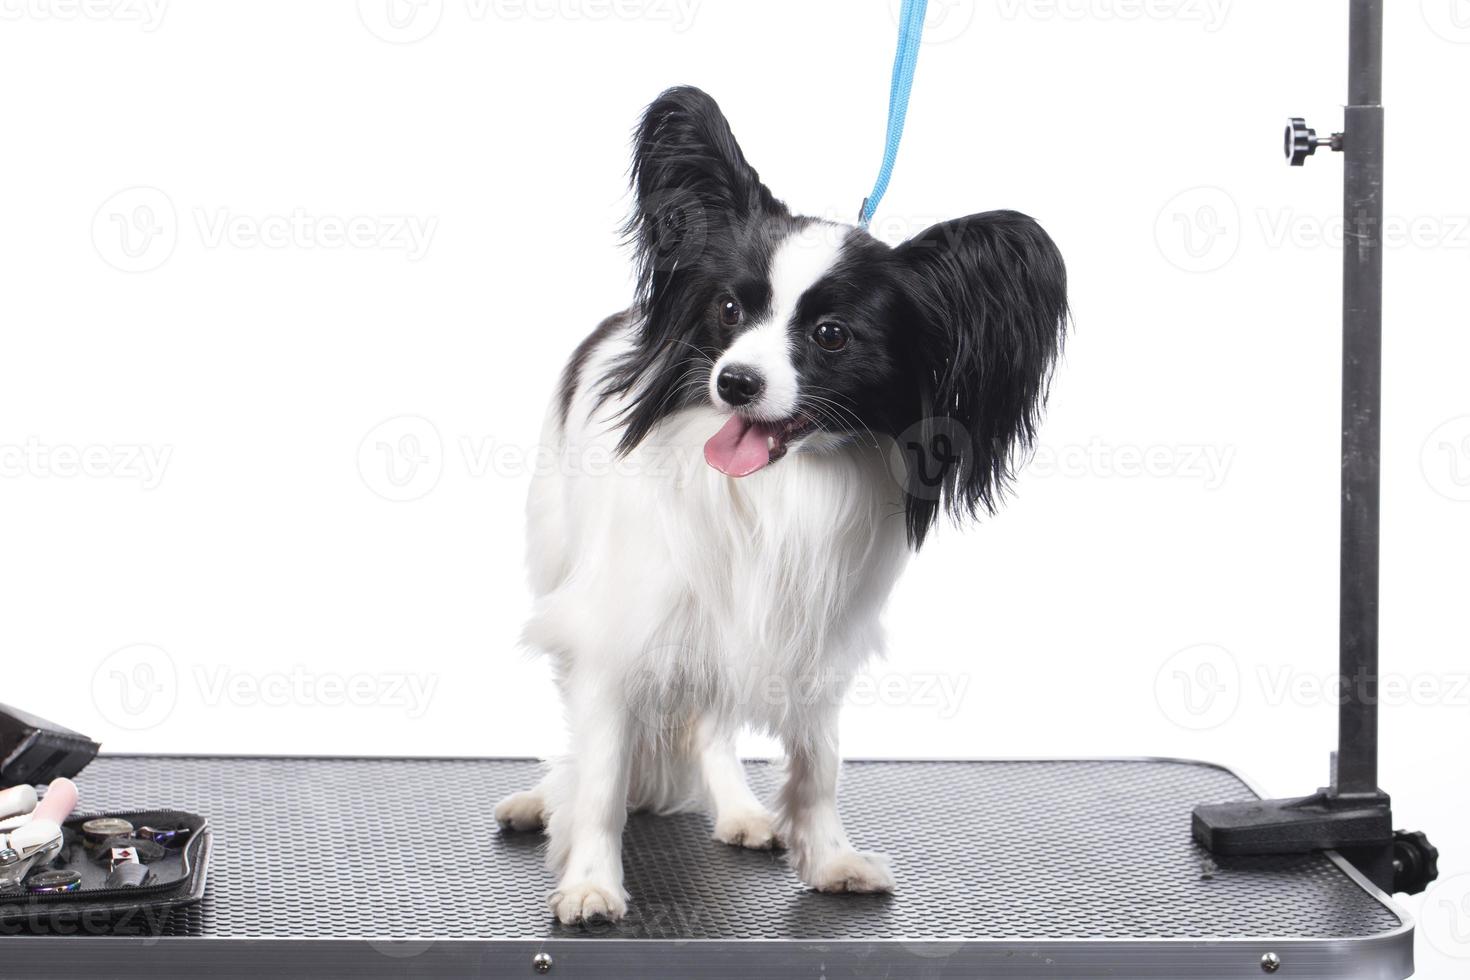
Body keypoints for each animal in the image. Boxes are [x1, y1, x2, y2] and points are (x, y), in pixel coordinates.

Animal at [496, 86, 1070, 928]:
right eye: (730, 310)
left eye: (831, 335)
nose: (734, 382)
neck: (777, 486)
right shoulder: (618, 630)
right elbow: (600, 771)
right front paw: (591, 883)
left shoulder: (810, 635)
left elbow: (818, 760)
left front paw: (828, 859)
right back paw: (541, 802)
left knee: (708, 726)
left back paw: (738, 811)